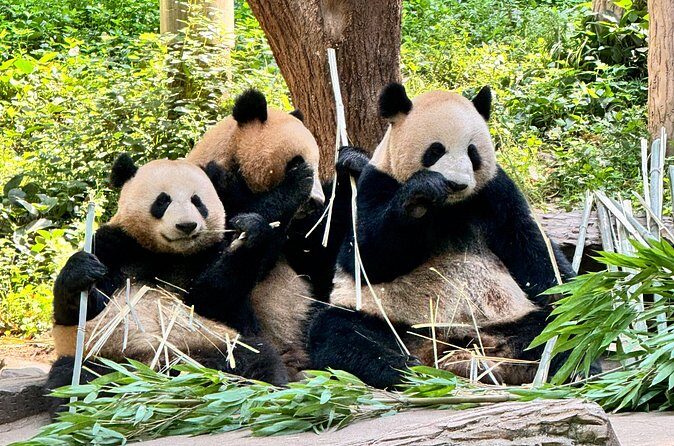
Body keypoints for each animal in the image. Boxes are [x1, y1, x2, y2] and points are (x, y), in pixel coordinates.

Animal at [47, 156, 289, 411]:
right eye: (162, 201)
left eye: (197, 201)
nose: (187, 226)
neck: (168, 253)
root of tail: (163, 372)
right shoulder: (114, 245)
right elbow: (80, 312)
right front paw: (82, 271)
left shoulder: (208, 255)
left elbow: (213, 300)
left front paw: (249, 231)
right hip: (105, 359)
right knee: (74, 378)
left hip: (215, 346)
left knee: (258, 361)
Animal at [186, 90, 352, 379]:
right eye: (296, 162)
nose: (316, 202)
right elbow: (203, 290)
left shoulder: (301, 236)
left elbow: (324, 252)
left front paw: (352, 164)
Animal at [307, 83, 576, 389]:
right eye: (435, 150)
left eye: (472, 152)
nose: (456, 184)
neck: (448, 207)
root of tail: (446, 345)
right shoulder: (375, 183)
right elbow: (364, 256)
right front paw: (419, 195)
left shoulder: (495, 192)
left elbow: (530, 246)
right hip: (392, 321)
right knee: (341, 333)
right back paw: (406, 370)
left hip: (506, 321)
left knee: (553, 333)